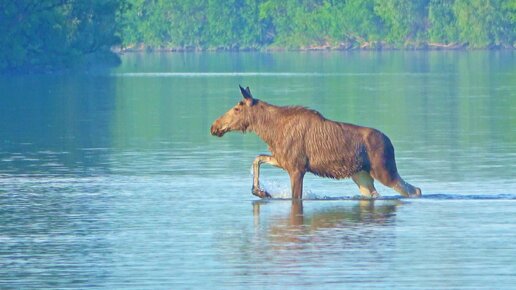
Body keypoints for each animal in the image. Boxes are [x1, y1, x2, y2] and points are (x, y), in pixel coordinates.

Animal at [211, 86, 424, 199]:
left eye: (237, 108)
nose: (214, 126)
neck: (270, 131)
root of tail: (390, 142)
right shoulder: (284, 160)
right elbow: (257, 158)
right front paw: (260, 191)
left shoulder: (297, 168)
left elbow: (295, 197)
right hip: (361, 175)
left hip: (384, 170)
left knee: (415, 190)